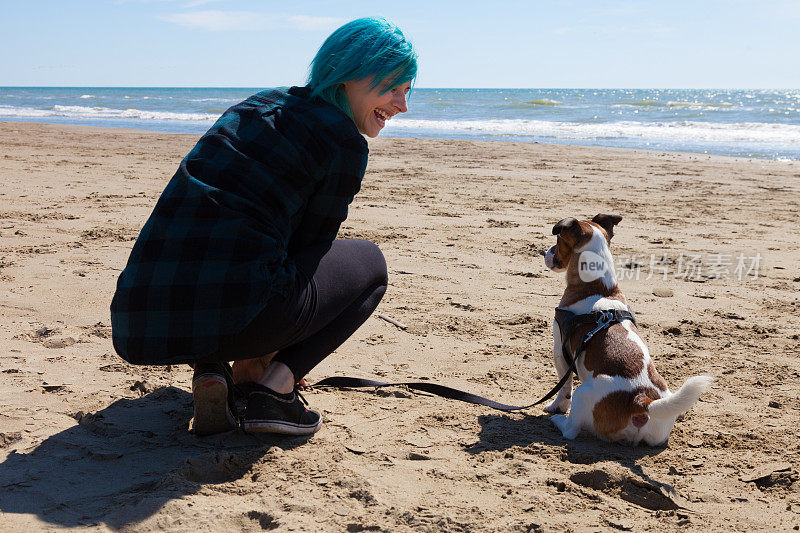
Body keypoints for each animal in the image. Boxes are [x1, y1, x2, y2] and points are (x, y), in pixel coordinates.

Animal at [544, 213, 712, 444]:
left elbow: (563, 387)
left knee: (571, 429)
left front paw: (556, 407)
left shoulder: (560, 351)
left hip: (583, 392)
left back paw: (559, 421)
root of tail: (641, 401)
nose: (546, 252)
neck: (600, 288)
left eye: (558, 241)